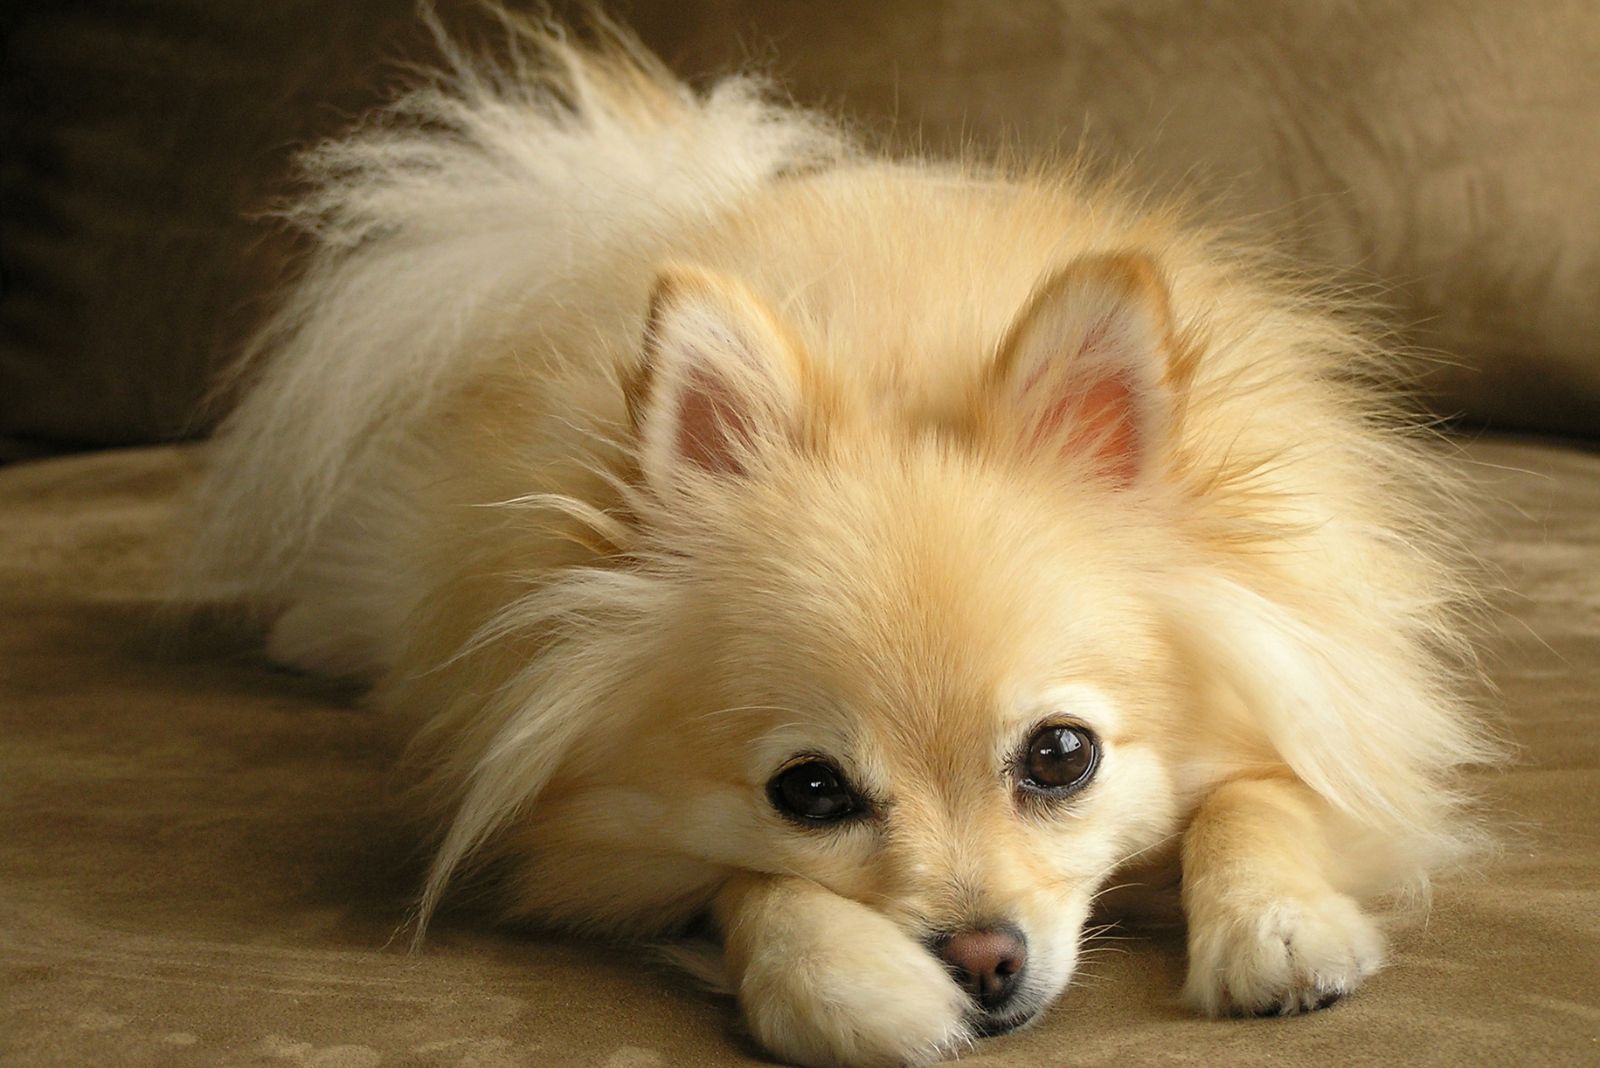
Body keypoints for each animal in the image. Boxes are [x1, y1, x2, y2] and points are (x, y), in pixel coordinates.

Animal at [181, 10, 1491, 1068]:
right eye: (809, 792)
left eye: (1061, 757)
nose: (981, 958)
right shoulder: (601, 838)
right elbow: (748, 888)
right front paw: (857, 987)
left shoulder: (1332, 692)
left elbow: (1259, 799)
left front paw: (1277, 925)